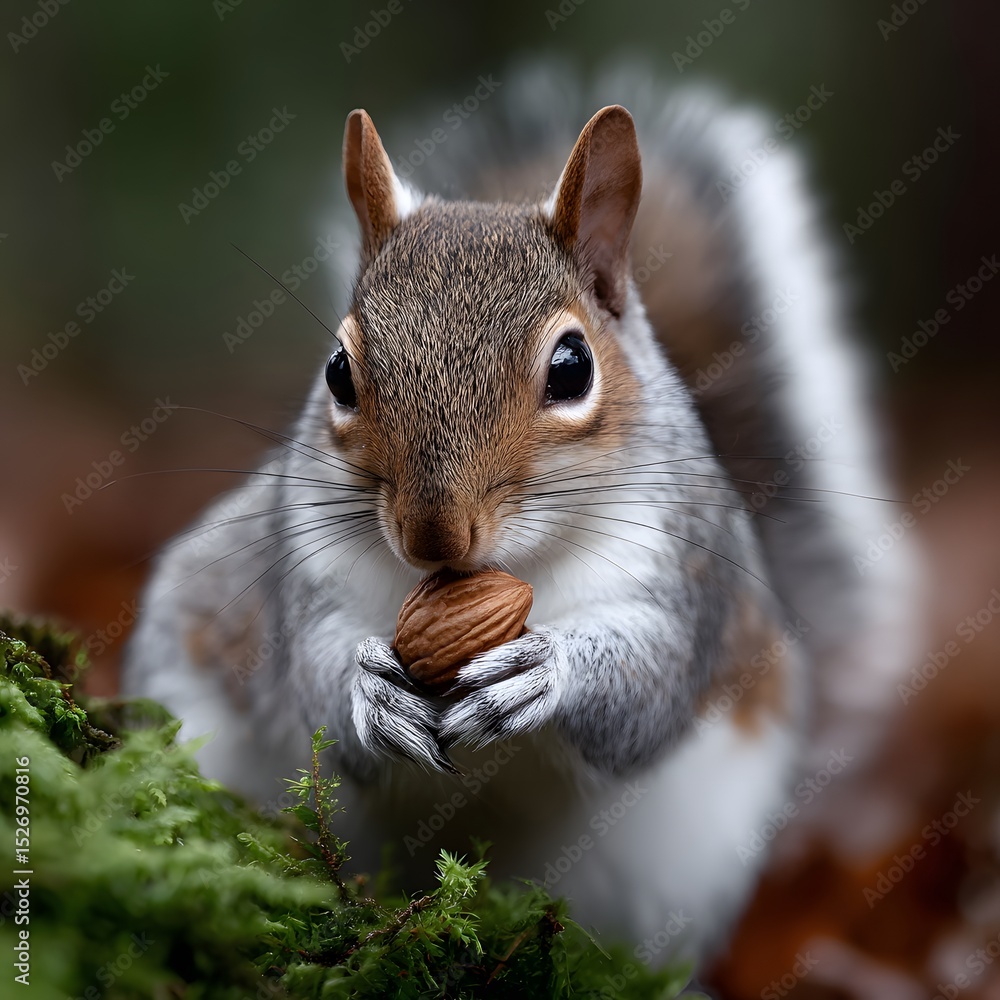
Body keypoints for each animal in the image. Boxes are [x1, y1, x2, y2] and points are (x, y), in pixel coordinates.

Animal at [122, 67, 917, 965]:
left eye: (572, 368)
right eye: (338, 371)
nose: (434, 534)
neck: (511, 567)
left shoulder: (687, 570)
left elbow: (652, 686)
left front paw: (545, 671)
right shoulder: (301, 570)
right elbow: (310, 679)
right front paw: (370, 691)